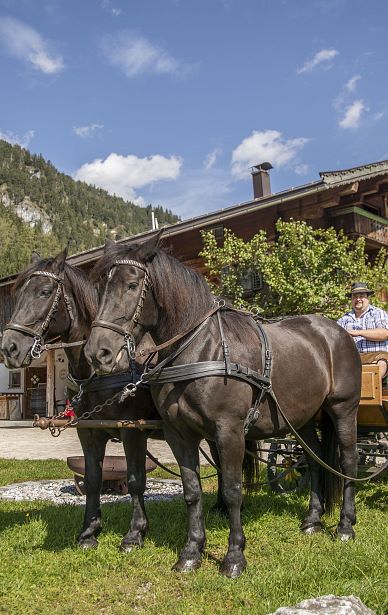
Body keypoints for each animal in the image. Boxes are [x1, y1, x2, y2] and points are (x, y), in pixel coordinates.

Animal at [1, 248, 256, 552]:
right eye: (17, 294)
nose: (9, 348)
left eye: (45, 291)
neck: (100, 374)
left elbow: (135, 480)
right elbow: (93, 479)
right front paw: (89, 532)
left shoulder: (133, 430)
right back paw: (219, 507)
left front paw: (135, 533)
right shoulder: (88, 431)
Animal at [85, 235, 360, 576]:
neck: (199, 349)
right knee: (314, 459)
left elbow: (232, 491)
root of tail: (334, 332)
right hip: (303, 419)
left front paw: (234, 556)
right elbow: (192, 492)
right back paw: (313, 520)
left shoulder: (229, 431)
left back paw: (345, 526)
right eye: (100, 289)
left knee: (348, 462)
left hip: (344, 410)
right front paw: (191, 552)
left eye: (132, 285)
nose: (98, 353)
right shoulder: (179, 434)